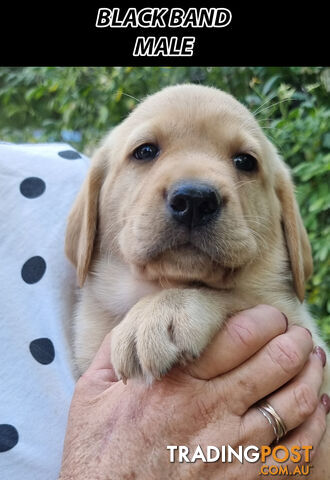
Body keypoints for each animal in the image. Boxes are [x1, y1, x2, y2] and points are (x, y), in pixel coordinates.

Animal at [65, 84, 328, 388]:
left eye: (245, 161)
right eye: (145, 151)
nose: (194, 200)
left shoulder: (302, 331)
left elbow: (238, 294)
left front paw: (158, 312)